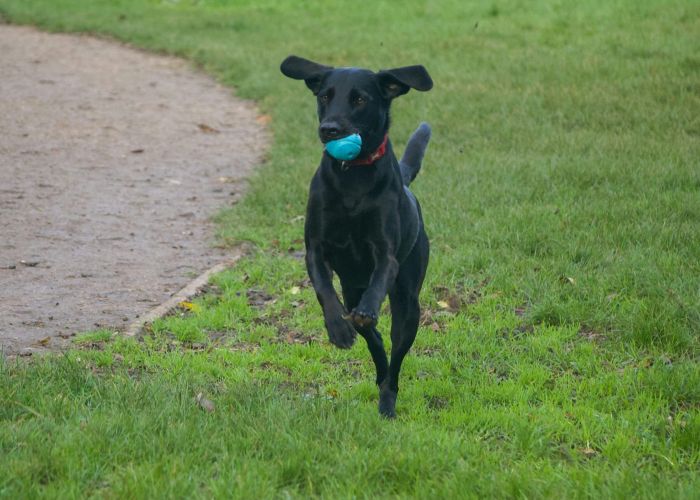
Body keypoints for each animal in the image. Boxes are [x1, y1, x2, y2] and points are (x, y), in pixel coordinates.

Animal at [278, 55, 432, 418]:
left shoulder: (385, 254)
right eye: (324, 96)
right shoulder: (315, 250)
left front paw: (366, 311)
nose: (329, 129)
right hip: (351, 288)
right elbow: (324, 290)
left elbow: (379, 280)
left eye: (360, 99)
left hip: (409, 303)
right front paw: (338, 328)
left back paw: (387, 399)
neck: (353, 178)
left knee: (395, 356)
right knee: (375, 341)